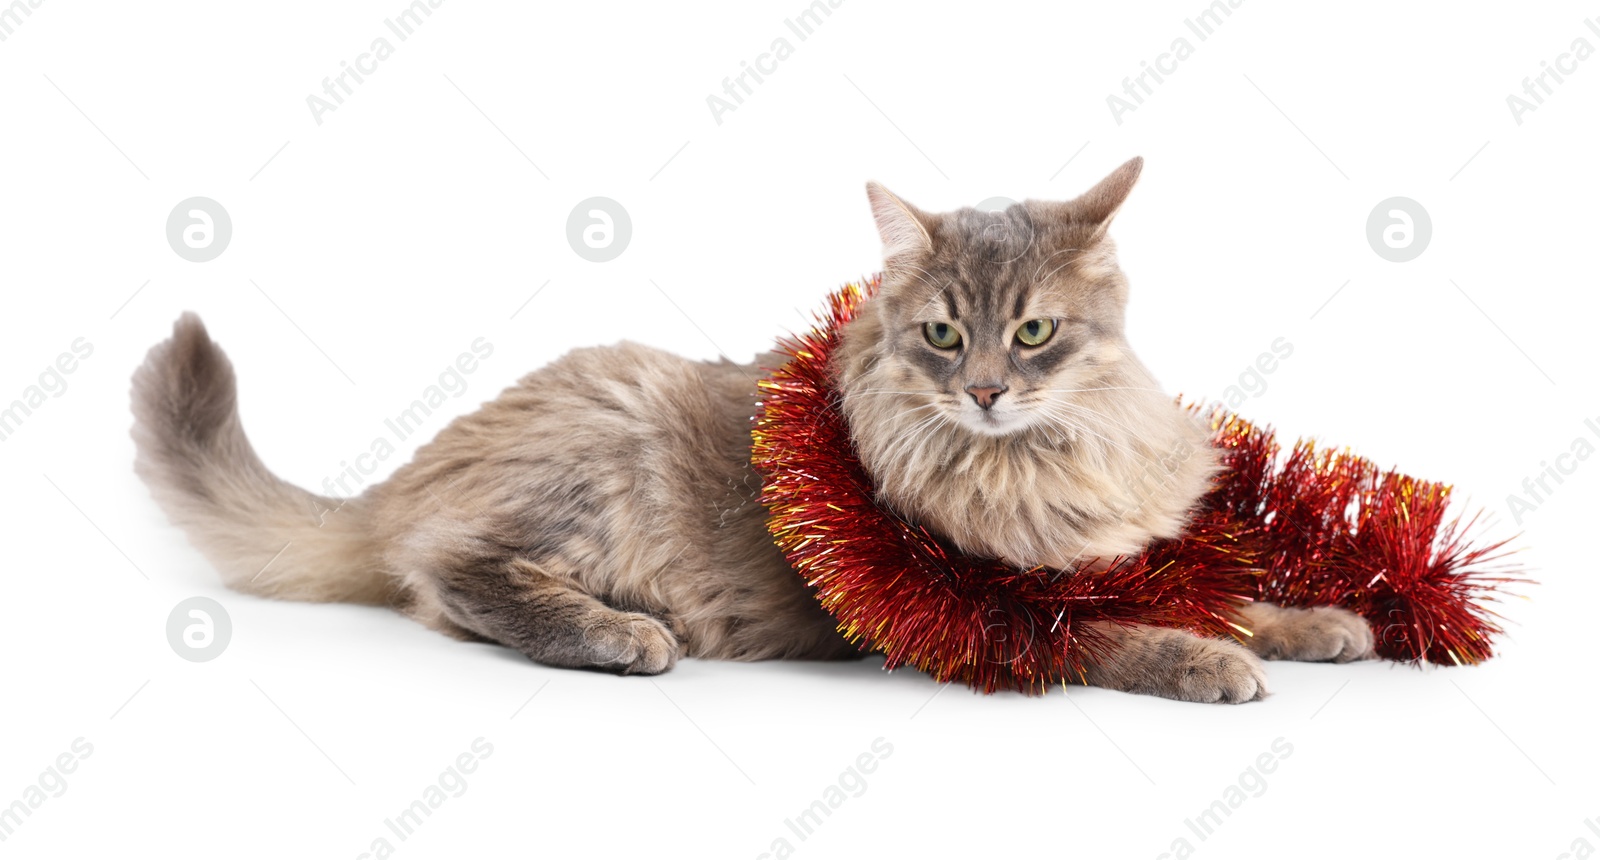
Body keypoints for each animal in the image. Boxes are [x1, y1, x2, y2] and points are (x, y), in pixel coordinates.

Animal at [131, 155, 1369, 703]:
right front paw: (1209, 660)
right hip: (605, 443)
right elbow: (1124, 637)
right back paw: (619, 633)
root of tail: (410, 469)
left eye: (1031, 332)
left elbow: (1227, 594)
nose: (981, 392)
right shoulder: (986, 608)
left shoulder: (1109, 552)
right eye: (940, 332)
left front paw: (1321, 621)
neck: (1038, 460)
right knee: (447, 573)